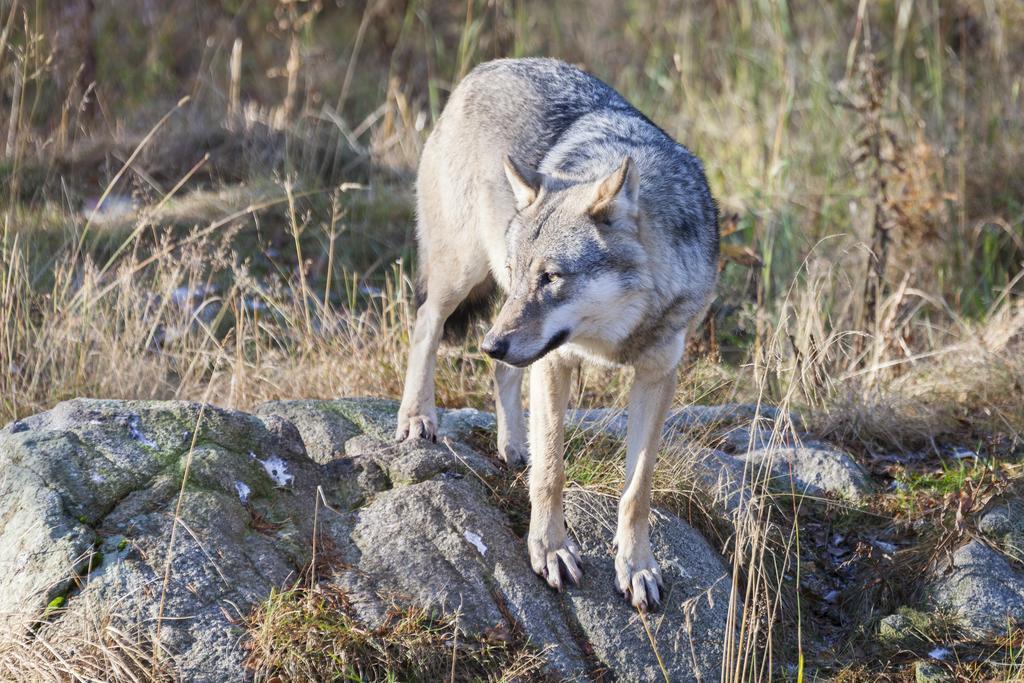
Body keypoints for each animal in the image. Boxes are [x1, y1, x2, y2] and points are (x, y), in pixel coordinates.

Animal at [393, 57, 720, 610]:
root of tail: (484, 68)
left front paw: (637, 566)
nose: (489, 344)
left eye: (551, 277)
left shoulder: (658, 375)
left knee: (502, 373)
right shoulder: (555, 361)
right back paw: (418, 417)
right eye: (524, 270)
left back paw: (512, 444)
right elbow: (552, 472)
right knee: (426, 326)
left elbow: (638, 489)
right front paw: (550, 551)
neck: (614, 335)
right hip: (463, 277)